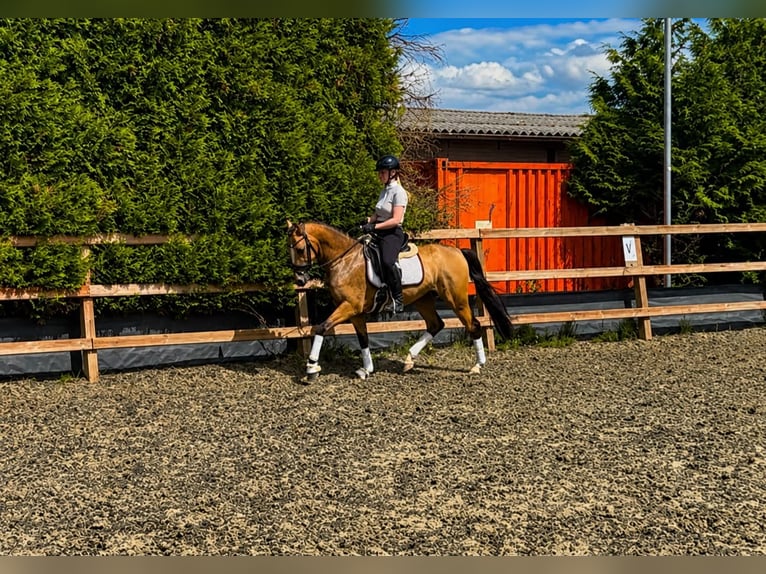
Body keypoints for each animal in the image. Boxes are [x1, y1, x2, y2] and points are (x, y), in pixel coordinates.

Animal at [287, 220, 514, 382]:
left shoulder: (349, 307)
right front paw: (366, 369)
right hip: (423, 299)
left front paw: (311, 368)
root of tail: (457, 251)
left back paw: (477, 365)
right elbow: (363, 339)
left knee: (473, 325)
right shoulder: (355, 312)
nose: (299, 280)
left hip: (455, 299)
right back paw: (409, 360)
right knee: (436, 324)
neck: (345, 261)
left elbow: (321, 327)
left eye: (299, 249)